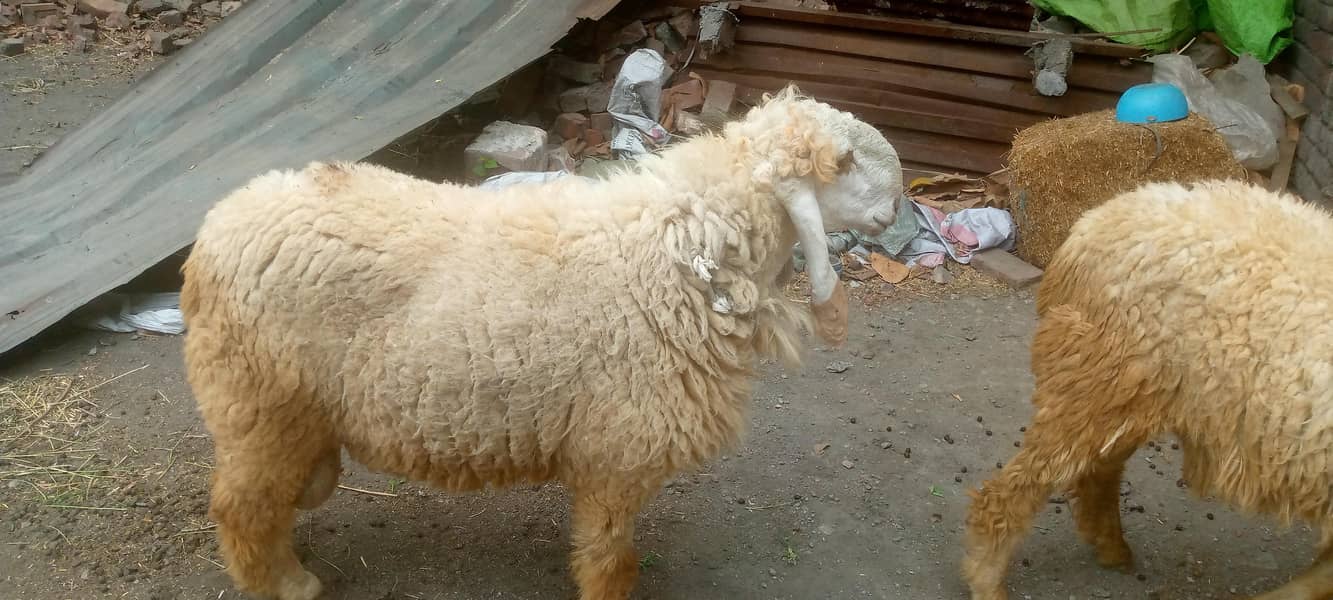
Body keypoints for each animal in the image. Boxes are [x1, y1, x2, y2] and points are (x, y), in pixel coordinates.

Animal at [180, 86, 903, 600]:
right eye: (842, 162)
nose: (897, 208)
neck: (676, 248)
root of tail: (217, 227)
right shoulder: (621, 449)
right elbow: (610, 557)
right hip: (259, 401)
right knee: (239, 507)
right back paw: (286, 583)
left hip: (284, 410)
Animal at [962, 179, 1333, 600]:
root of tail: (1091, 225)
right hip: (1092, 380)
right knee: (1016, 489)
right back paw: (987, 578)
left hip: (1127, 392)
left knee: (1099, 471)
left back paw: (1111, 547)